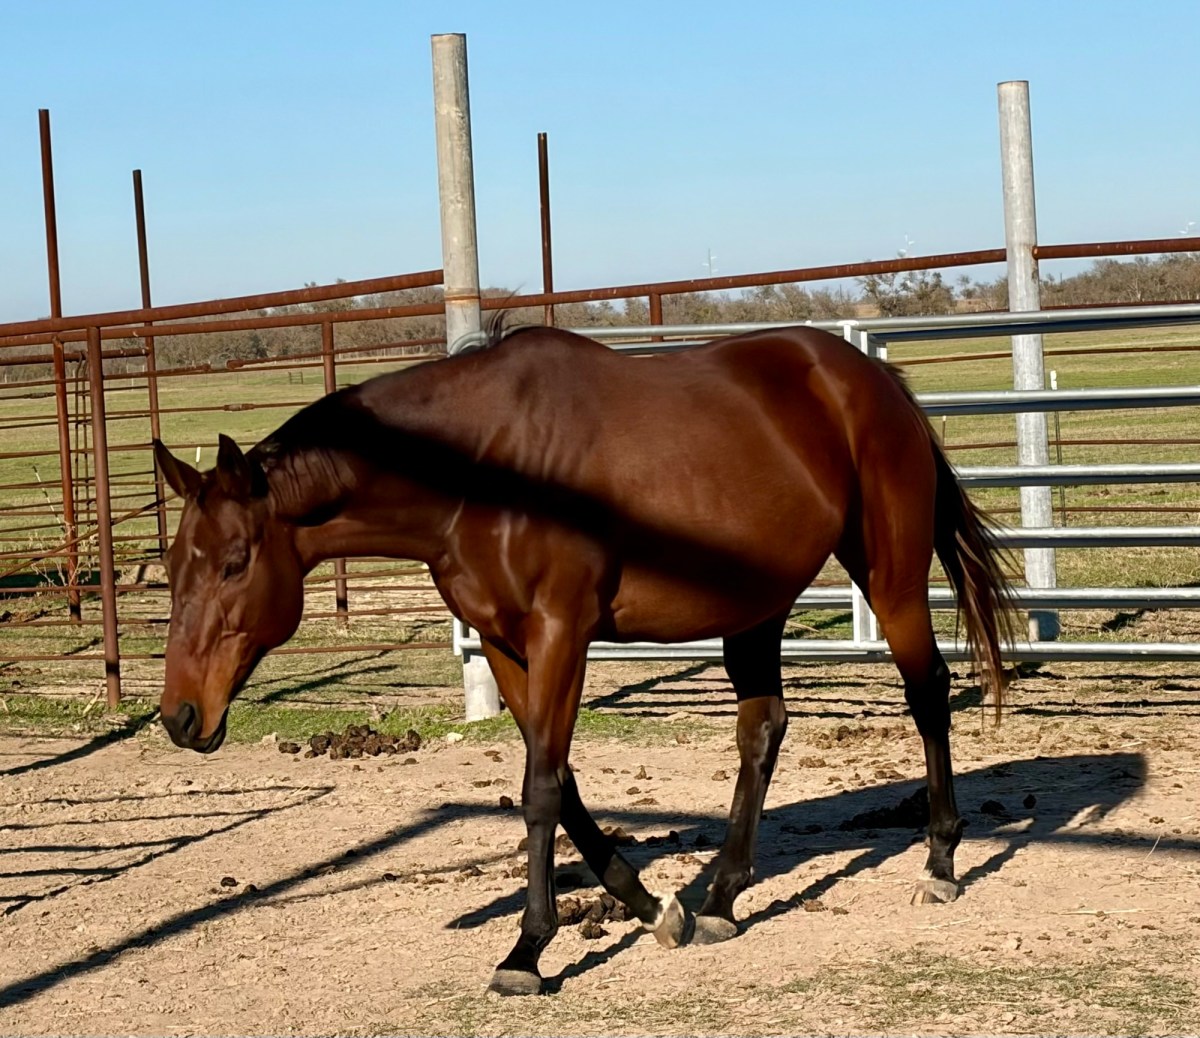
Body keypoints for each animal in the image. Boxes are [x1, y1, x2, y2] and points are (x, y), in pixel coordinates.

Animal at [153, 322, 1014, 996]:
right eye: (171, 564)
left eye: (234, 562)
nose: (180, 717)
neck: (487, 470)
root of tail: (871, 379)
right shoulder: (506, 644)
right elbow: (559, 781)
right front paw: (655, 909)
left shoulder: (561, 631)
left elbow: (539, 789)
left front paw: (527, 951)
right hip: (757, 605)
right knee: (762, 730)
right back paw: (723, 900)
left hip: (889, 576)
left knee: (928, 693)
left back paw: (940, 863)